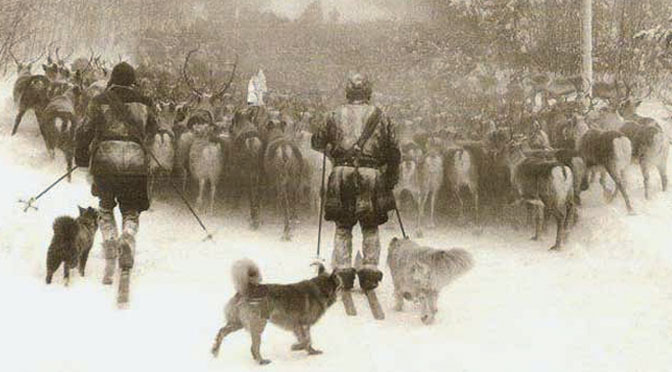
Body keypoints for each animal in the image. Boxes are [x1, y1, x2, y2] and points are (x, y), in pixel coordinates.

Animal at [211, 258, 342, 364]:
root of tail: (248, 289)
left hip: (238, 323)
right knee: (254, 347)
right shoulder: (300, 325)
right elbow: (306, 340)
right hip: (258, 324)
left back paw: (215, 350)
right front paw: (296, 347)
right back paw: (261, 361)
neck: (320, 288)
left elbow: (308, 340)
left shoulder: (303, 327)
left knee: (222, 332)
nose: (343, 291)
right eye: (339, 285)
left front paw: (311, 352)